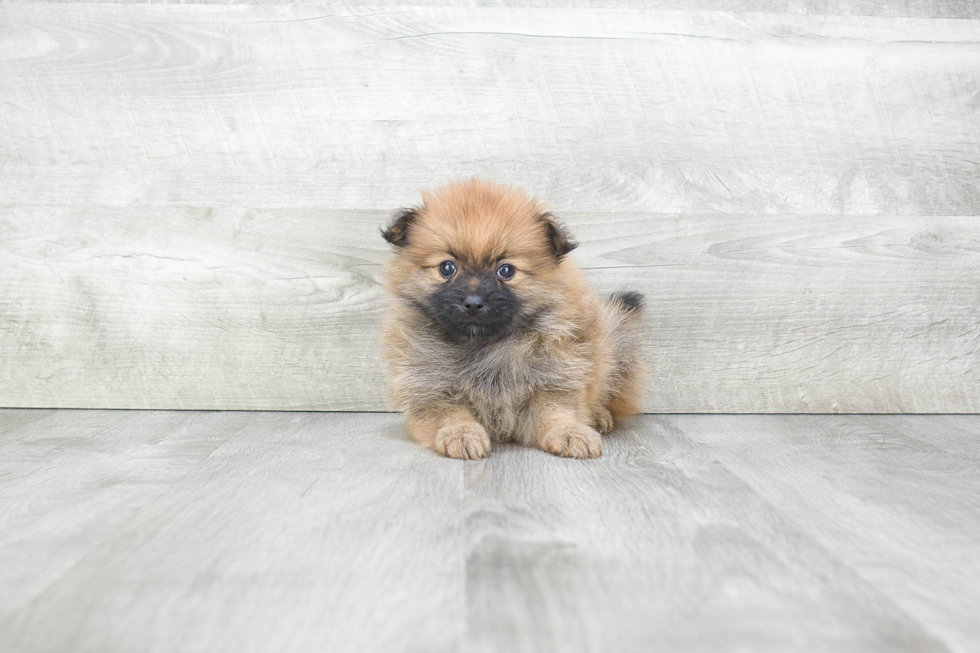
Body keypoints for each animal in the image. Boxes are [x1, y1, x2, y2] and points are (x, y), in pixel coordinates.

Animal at [380, 178, 644, 458]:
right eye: (447, 267)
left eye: (506, 270)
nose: (473, 302)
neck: (483, 347)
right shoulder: (429, 386)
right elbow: (450, 415)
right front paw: (461, 434)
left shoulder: (552, 378)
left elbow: (556, 413)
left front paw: (571, 433)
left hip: (615, 341)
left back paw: (599, 415)